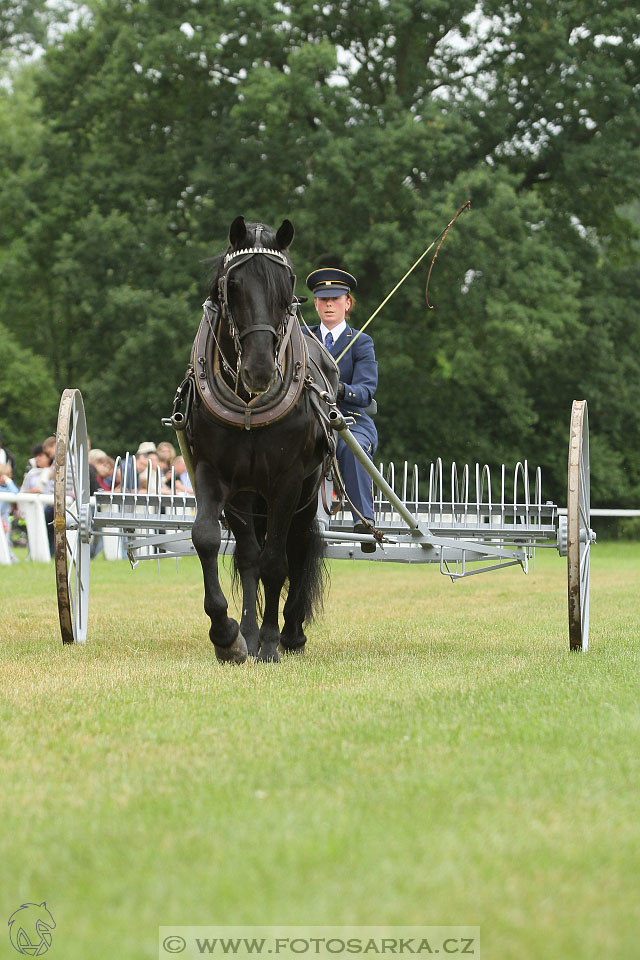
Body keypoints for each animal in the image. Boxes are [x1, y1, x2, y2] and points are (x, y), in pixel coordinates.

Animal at [189, 218, 340, 664]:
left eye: (287, 285)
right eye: (233, 285)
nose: (259, 370)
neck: (248, 403)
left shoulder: (287, 481)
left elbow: (277, 561)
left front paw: (272, 641)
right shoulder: (213, 472)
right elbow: (210, 540)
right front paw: (228, 636)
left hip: (306, 490)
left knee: (297, 547)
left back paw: (290, 632)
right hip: (246, 494)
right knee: (248, 556)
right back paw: (249, 635)